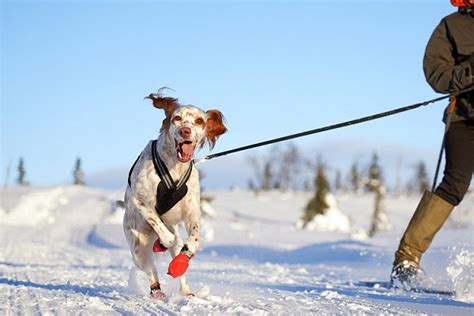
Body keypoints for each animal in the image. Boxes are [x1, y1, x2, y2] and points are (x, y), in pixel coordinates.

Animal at [121, 90, 227, 298]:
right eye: (177, 118)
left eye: (199, 121)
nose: (185, 131)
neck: (175, 166)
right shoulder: (140, 201)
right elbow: (164, 233)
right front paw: (161, 243)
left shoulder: (192, 211)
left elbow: (193, 241)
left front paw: (180, 261)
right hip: (137, 247)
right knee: (151, 267)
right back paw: (156, 290)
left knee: (176, 253)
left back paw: (185, 290)